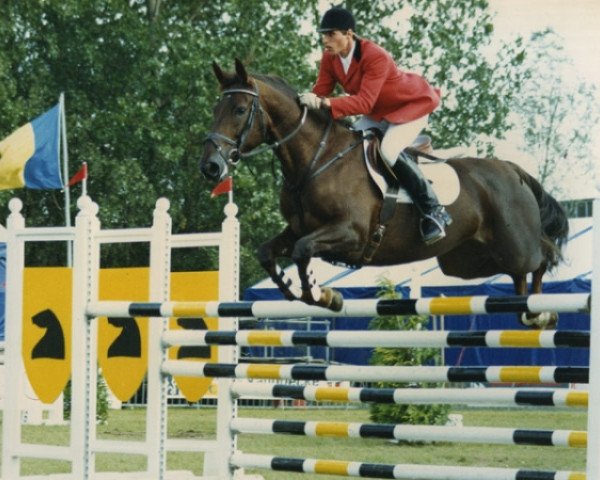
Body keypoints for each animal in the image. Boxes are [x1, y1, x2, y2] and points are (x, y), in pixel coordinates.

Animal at [200, 60, 568, 328]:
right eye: (215, 109)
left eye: (239, 110)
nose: (211, 167)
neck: (316, 159)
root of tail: (513, 171)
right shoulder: (298, 229)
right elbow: (268, 253)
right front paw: (306, 292)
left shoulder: (352, 234)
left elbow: (304, 251)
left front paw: (322, 294)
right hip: (464, 261)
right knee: (519, 278)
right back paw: (533, 314)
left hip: (514, 246)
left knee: (541, 259)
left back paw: (542, 312)